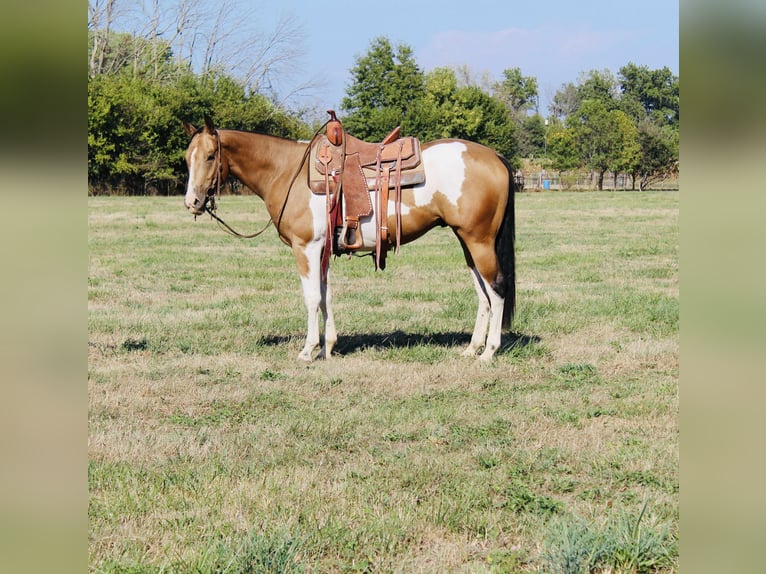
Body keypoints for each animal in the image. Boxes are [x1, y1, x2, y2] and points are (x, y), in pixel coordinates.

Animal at [182, 116, 515, 362]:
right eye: (187, 158)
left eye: (210, 156)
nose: (192, 202)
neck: (287, 172)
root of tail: (495, 157)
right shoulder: (323, 251)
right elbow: (325, 295)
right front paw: (328, 347)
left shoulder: (306, 248)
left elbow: (311, 297)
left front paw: (308, 350)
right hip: (467, 242)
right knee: (483, 293)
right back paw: (472, 348)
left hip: (479, 241)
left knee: (497, 288)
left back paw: (489, 352)